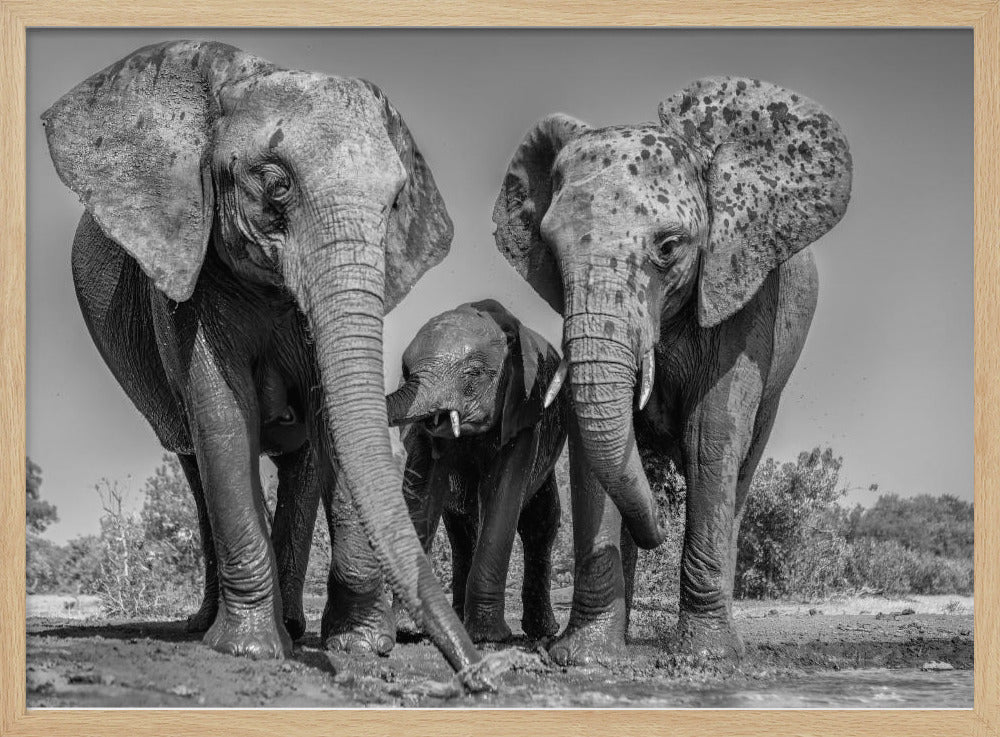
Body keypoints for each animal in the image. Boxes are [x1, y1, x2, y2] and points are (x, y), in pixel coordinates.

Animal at [42, 40, 488, 686]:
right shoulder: (187, 273)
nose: (482, 674)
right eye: (276, 186)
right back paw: (209, 627)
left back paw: (296, 627)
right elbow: (224, 419)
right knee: (195, 462)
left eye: (394, 204)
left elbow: (330, 421)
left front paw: (360, 646)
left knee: (302, 463)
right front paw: (248, 651)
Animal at [384, 300, 567, 643]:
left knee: (541, 522)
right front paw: (406, 629)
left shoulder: (522, 410)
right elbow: (423, 495)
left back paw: (543, 633)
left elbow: (501, 496)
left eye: (474, 373)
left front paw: (489, 637)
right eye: (405, 372)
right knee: (461, 532)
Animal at [492, 76, 852, 665]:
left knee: (740, 471)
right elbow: (592, 447)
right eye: (551, 249)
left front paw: (706, 658)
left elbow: (711, 435)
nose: (656, 531)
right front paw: (584, 657)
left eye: (668, 247)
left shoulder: (744, 291)